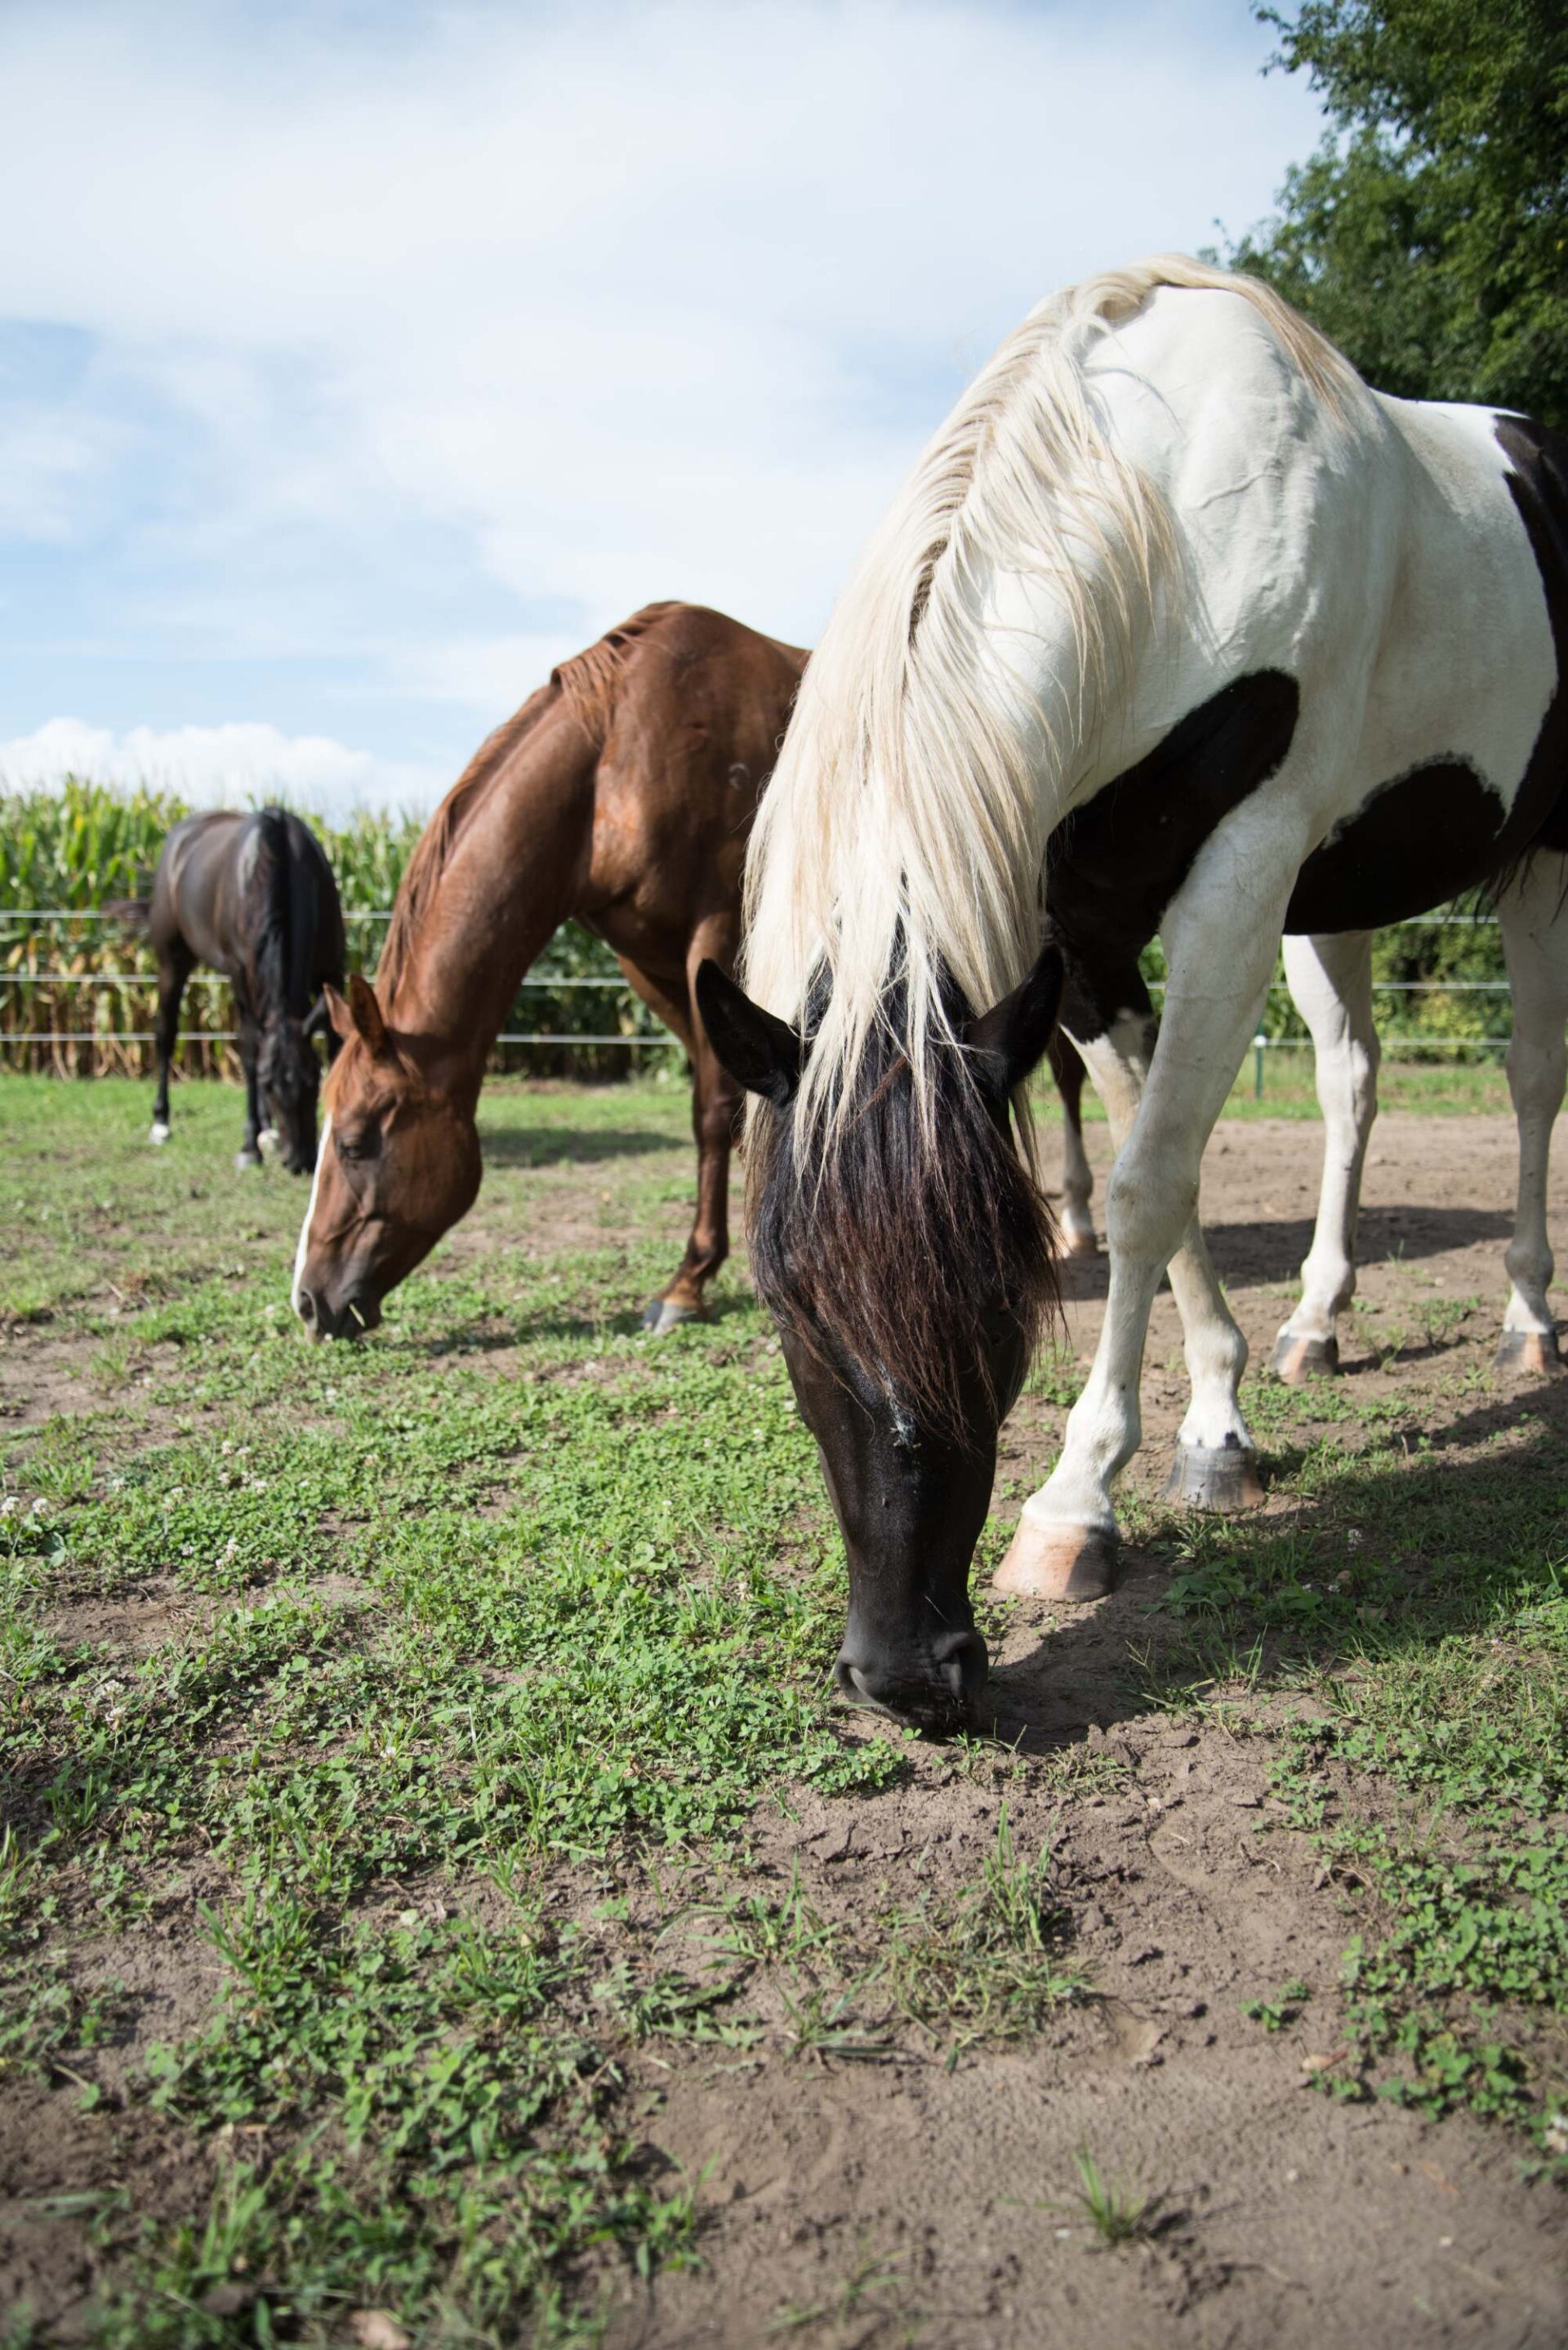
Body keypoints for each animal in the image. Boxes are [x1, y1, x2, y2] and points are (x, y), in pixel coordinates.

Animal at [139, 808, 345, 1175]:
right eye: (267, 1084)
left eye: (314, 1080)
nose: (300, 1161)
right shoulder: (239, 975)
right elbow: (249, 1050)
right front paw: (250, 1146)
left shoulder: (332, 970)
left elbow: (337, 1046)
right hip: (171, 961)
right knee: (166, 1031)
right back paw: (162, 1122)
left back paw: (268, 1130)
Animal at [291, 596, 808, 1353]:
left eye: (356, 1142)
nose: (308, 1300)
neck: (618, 751)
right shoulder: (645, 959)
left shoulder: (716, 930)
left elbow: (713, 1112)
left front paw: (687, 1284)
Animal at [700, 257, 1568, 1738]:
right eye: (787, 1303)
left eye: (1005, 1302)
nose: (906, 1674)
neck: (1166, 516)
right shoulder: (1086, 926)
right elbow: (1157, 1173)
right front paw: (1222, 1411)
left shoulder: (1244, 871)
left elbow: (1146, 1184)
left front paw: (1078, 1500)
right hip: (1339, 898)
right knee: (1352, 1078)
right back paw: (1321, 1323)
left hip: (1543, 857)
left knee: (1530, 1078)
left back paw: (1527, 1324)